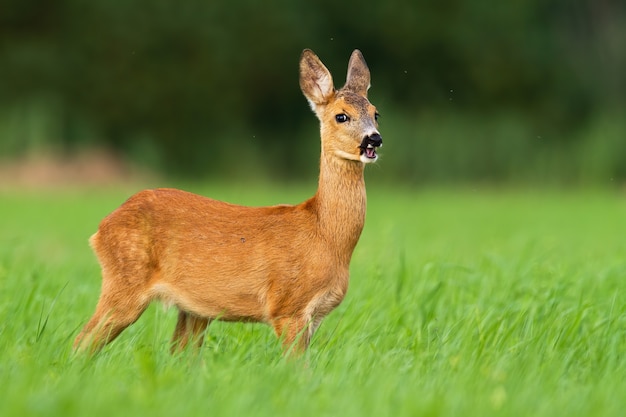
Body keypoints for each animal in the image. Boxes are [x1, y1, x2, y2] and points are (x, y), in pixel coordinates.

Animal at [75, 48, 382, 354]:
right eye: (341, 116)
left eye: (375, 113)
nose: (374, 139)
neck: (325, 235)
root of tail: (101, 228)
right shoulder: (287, 306)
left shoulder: (313, 316)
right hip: (126, 283)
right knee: (82, 342)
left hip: (191, 310)